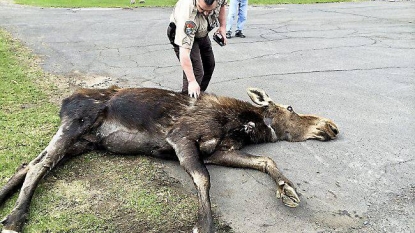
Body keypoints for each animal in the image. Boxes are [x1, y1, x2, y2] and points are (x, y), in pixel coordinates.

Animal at [0, 87, 338, 233]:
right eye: (291, 108)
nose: (331, 126)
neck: (243, 124)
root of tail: (66, 100)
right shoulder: (181, 136)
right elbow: (203, 178)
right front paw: (205, 225)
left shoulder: (220, 151)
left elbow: (265, 160)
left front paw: (288, 190)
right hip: (77, 124)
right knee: (40, 165)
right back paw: (15, 219)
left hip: (84, 142)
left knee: (27, 164)